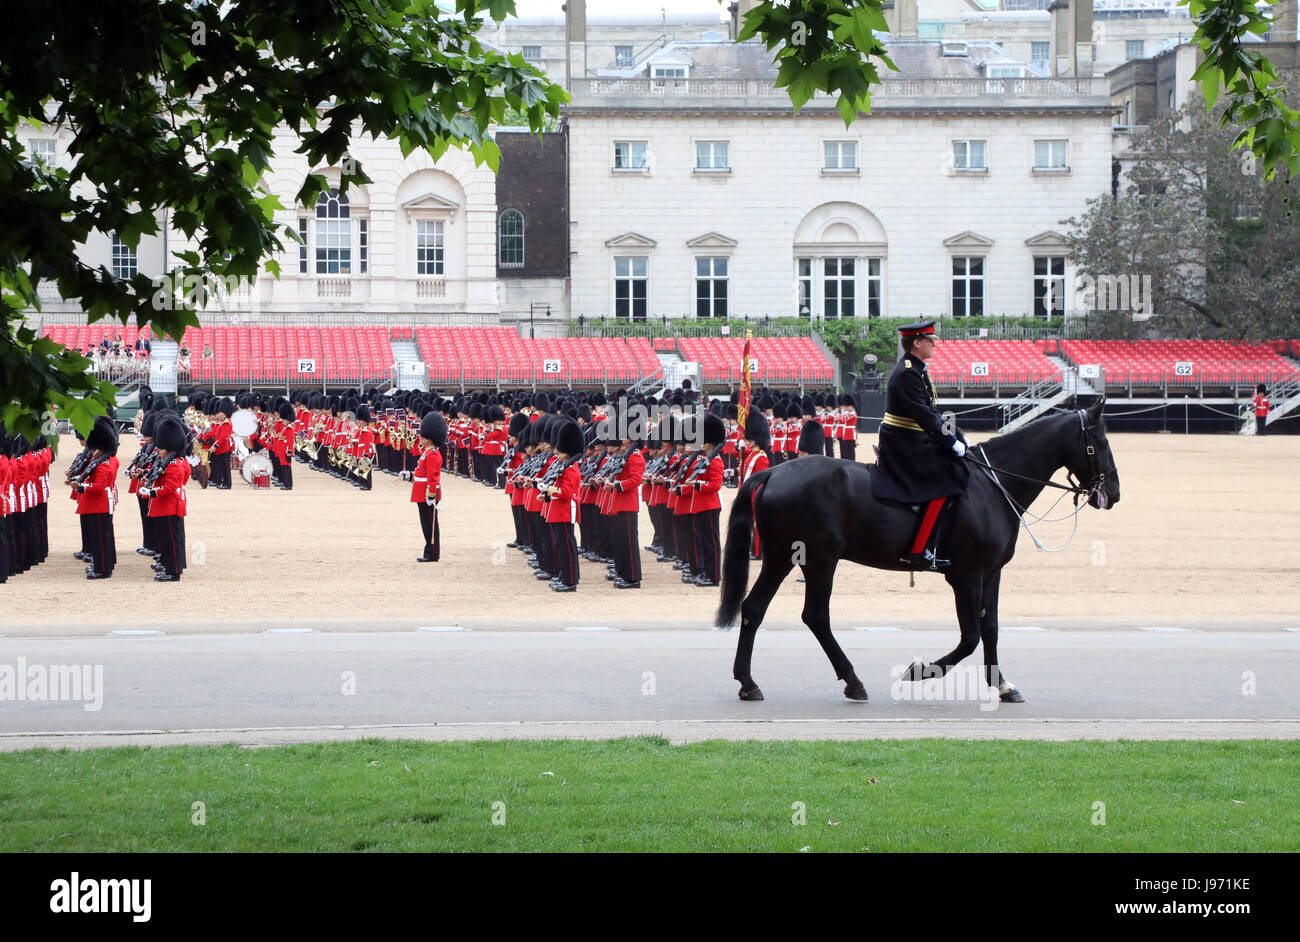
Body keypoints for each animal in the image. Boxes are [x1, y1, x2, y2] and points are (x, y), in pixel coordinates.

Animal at [717, 397, 1123, 696]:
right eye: (1100, 442)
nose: (1114, 494)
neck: (992, 485)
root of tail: (772, 472)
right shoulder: (966, 575)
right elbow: (971, 636)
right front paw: (921, 671)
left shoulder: (991, 573)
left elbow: (990, 628)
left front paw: (1001, 683)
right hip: (818, 560)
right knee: (815, 616)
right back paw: (851, 680)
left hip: (782, 559)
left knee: (754, 608)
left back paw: (748, 681)